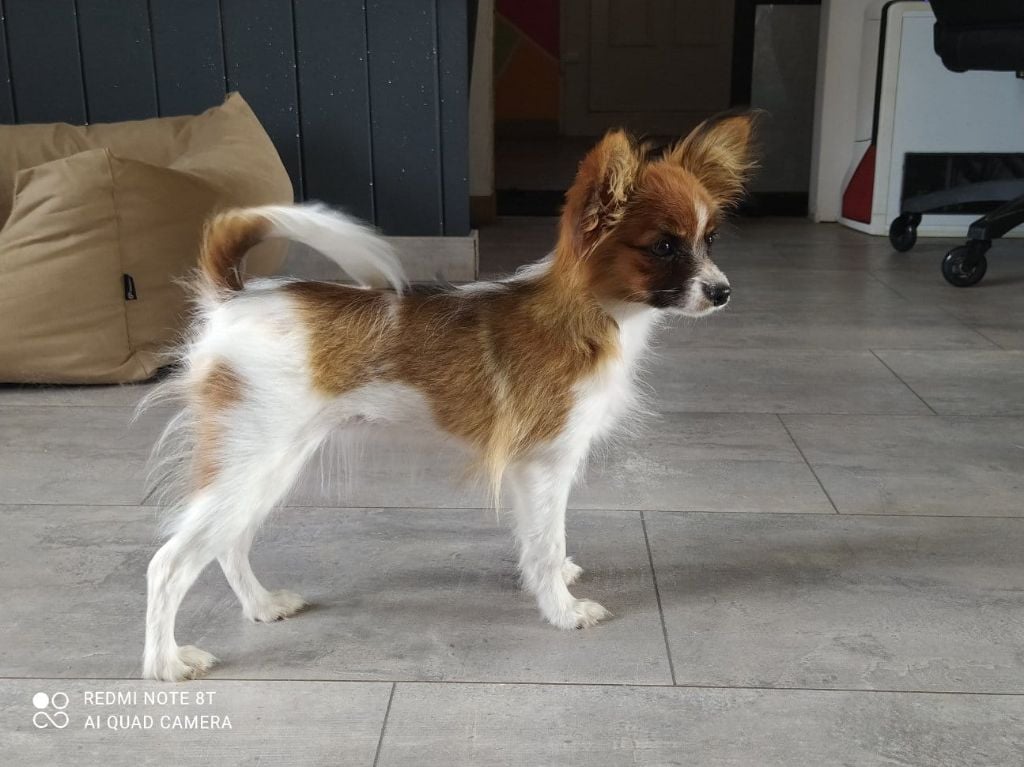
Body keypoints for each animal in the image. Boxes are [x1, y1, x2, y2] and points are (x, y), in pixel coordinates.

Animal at [142, 110, 753, 679]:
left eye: (710, 240)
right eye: (664, 247)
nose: (723, 292)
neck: (590, 314)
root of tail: (233, 299)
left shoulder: (527, 469)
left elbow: (536, 539)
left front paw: (553, 581)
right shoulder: (546, 462)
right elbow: (545, 541)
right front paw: (562, 609)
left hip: (269, 464)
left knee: (228, 542)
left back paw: (262, 605)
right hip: (251, 456)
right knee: (169, 564)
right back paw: (166, 662)